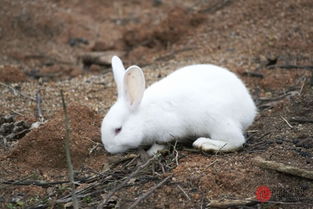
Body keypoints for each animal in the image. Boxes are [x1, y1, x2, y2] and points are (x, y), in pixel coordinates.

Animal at [100, 55, 256, 155]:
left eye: (118, 129)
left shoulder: (167, 131)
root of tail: (250, 110)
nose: (108, 148)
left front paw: (152, 151)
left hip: (219, 122)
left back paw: (205, 144)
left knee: (236, 141)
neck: (144, 116)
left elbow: (161, 142)